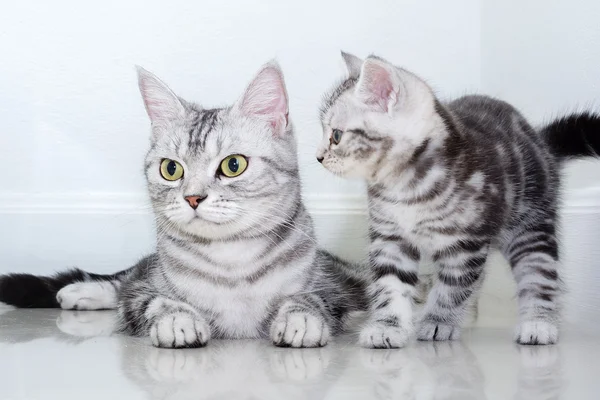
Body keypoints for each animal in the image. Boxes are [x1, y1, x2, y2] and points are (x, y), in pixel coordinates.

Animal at [0, 61, 370, 348]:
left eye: (233, 165)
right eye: (171, 169)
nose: (193, 197)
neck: (232, 262)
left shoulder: (333, 288)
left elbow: (311, 298)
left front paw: (301, 317)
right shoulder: (142, 293)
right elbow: (153, 299)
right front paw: (177, 319)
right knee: (124, 281)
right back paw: (81, 292)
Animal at [316, 52, 596, 346]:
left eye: (336, 136)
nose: (318, 156)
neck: (405, 187)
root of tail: (539, 140)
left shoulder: (465, 243)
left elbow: (454, 286)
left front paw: (439, 322)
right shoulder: (390, 237)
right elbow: (391, 284)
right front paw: (387, 326)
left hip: (530, 223)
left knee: (539, 271)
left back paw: (538, 322)